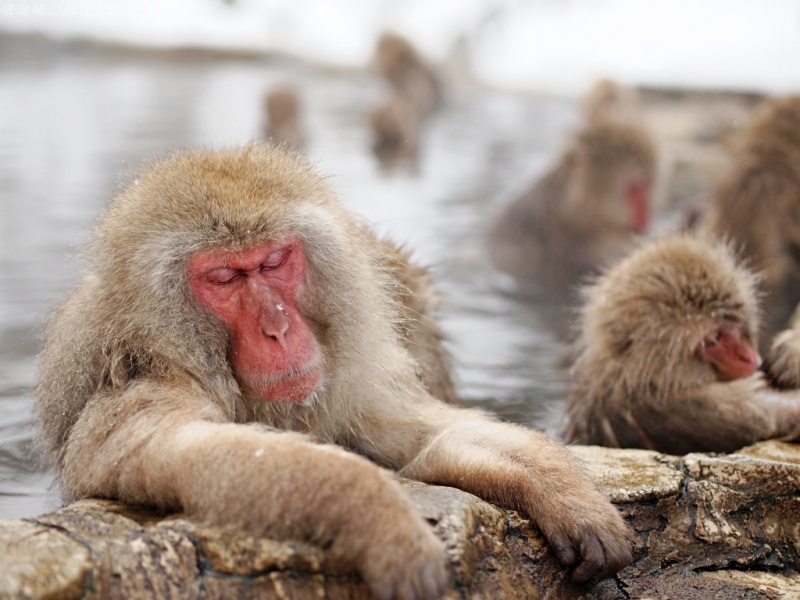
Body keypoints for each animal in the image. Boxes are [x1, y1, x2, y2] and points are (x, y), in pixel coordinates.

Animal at [35, 144, 632, 599]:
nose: (277, 328)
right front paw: (376, 510)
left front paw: (559, 490)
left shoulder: (347, 385)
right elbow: (171, 450)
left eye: (274, 262)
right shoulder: (142, 381)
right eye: (225, 278)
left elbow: (425, 437)